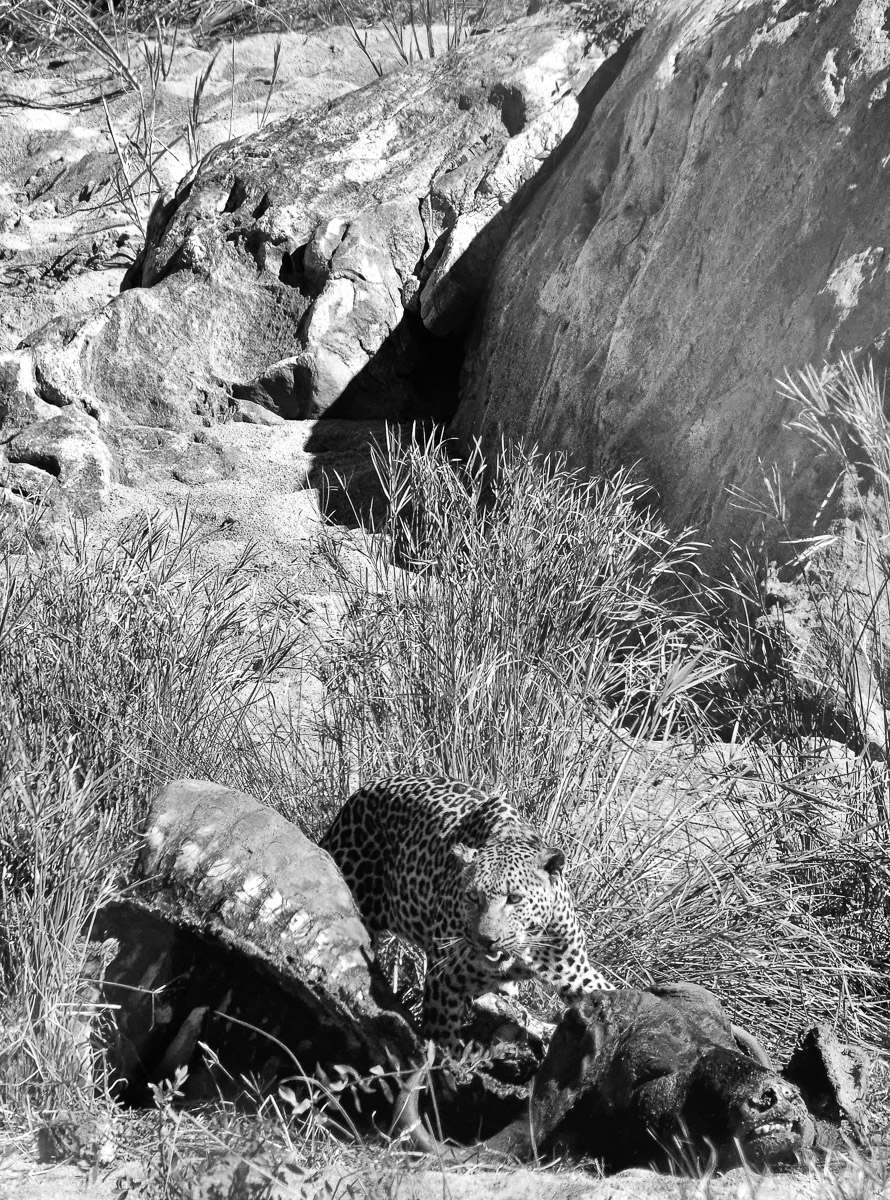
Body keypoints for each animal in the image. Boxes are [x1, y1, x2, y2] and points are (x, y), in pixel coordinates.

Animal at [320, 775, 614, 1048]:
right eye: (473, 897)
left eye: (514, 898)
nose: (487, 940)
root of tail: (360, 793)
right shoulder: (443, 979)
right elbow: (443, 1042)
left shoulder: (576, 972)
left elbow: (612, 995)